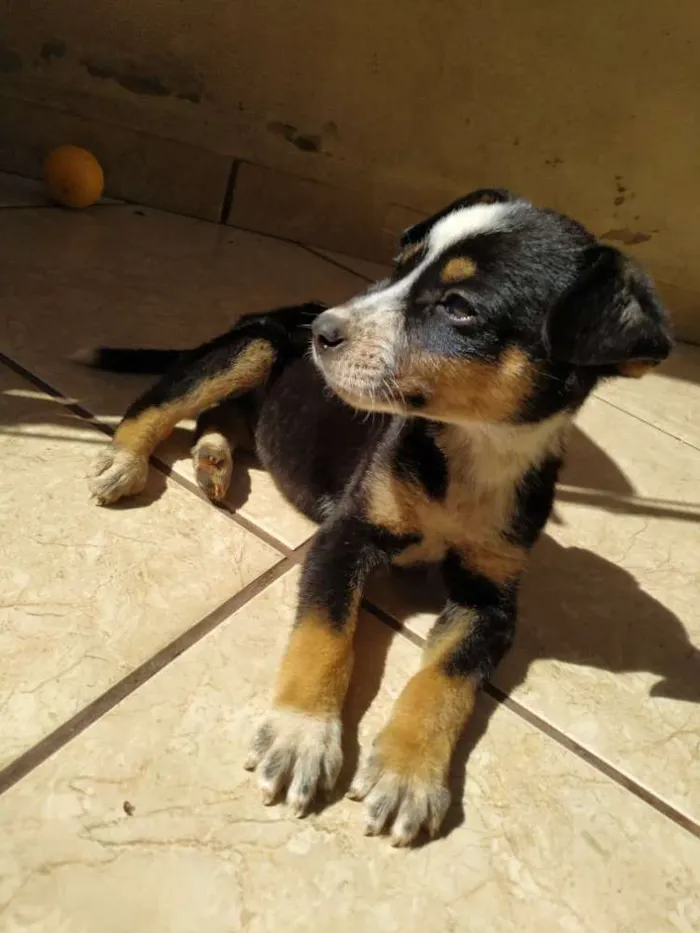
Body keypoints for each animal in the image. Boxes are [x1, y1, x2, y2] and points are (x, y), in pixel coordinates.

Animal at [76, 189, 672, 844]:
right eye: (397, 268)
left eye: (459, 308)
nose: (322, 333)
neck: (469, 452)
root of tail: (284, 308)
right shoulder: (345, 537)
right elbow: (327, 638)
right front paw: (301, 736)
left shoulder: (491, 598)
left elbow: (446, 680)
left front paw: (408, 774)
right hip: (253, 348)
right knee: (159, 402)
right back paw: (126, 461)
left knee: (224, 416)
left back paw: (212, 460)